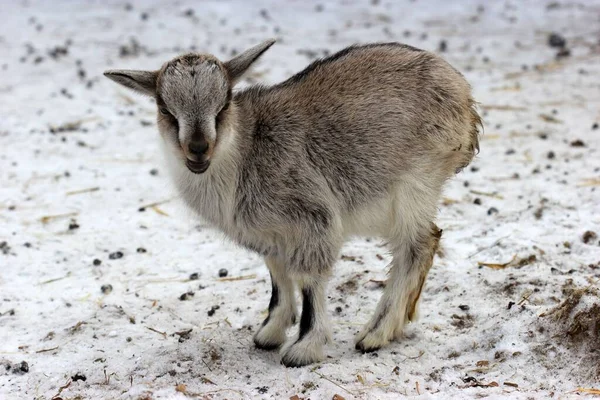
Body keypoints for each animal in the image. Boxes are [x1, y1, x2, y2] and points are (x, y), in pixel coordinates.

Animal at [104, 39, 482, 368]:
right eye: (165, 109)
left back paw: (375, 334)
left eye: (224, 103)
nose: (198, 150)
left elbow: (308, 279)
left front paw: (304, 348)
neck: (244, 153)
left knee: (418, 246)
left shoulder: (314, 218)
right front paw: (269, 333)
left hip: (415, 183)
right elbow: (279, 275)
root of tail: (465, 100)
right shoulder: (271, 235)